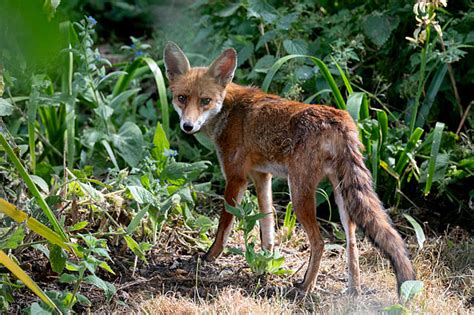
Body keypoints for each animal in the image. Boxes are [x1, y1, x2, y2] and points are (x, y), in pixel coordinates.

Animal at [163, 42, 414, 296]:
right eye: (182, 98)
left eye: (205, 101)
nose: (187, 126)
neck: (229, 109)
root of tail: (339, 116)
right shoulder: (262, 176)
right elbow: (267, 226)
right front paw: (264, 263)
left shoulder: (236, 177)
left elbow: (224, 227)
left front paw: (209, 257)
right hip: (343, 197)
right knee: (352, 243)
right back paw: (354, 291)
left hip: (299, 193)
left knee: (320, 242)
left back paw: (307, 286)